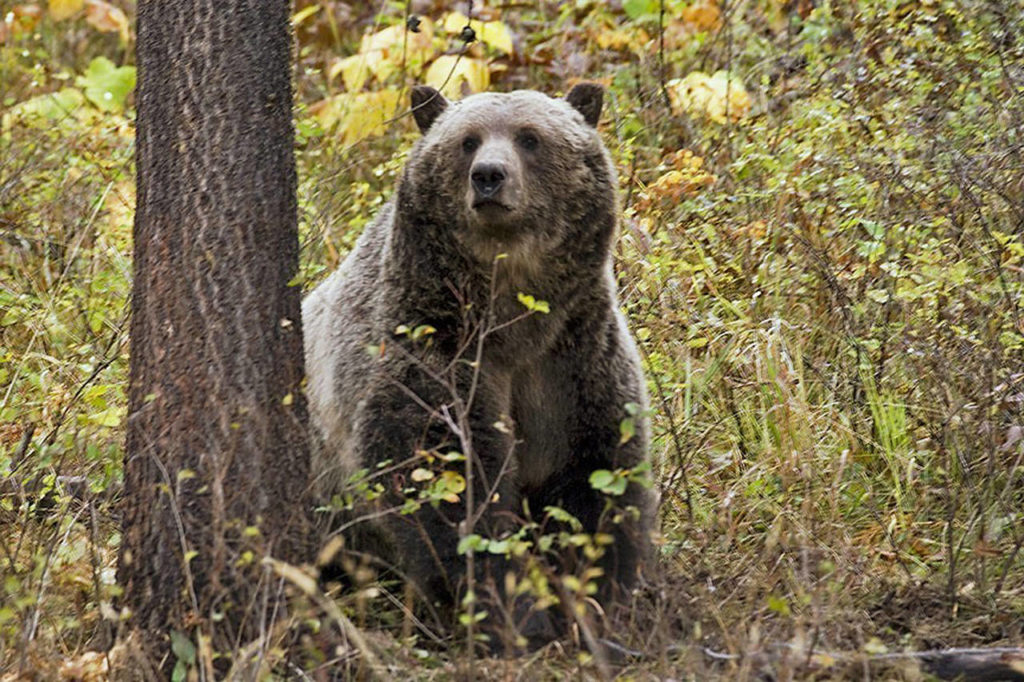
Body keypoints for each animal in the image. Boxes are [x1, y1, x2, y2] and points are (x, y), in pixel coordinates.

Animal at [303, 83, 651, 643]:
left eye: (530, 137)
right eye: (467, 140)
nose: (488, 175)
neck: (513, 317)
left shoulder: (573, 360)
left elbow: (595, 476)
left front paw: (597, 596)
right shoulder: (434, 348)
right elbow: (447, 482)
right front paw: (509, 610)